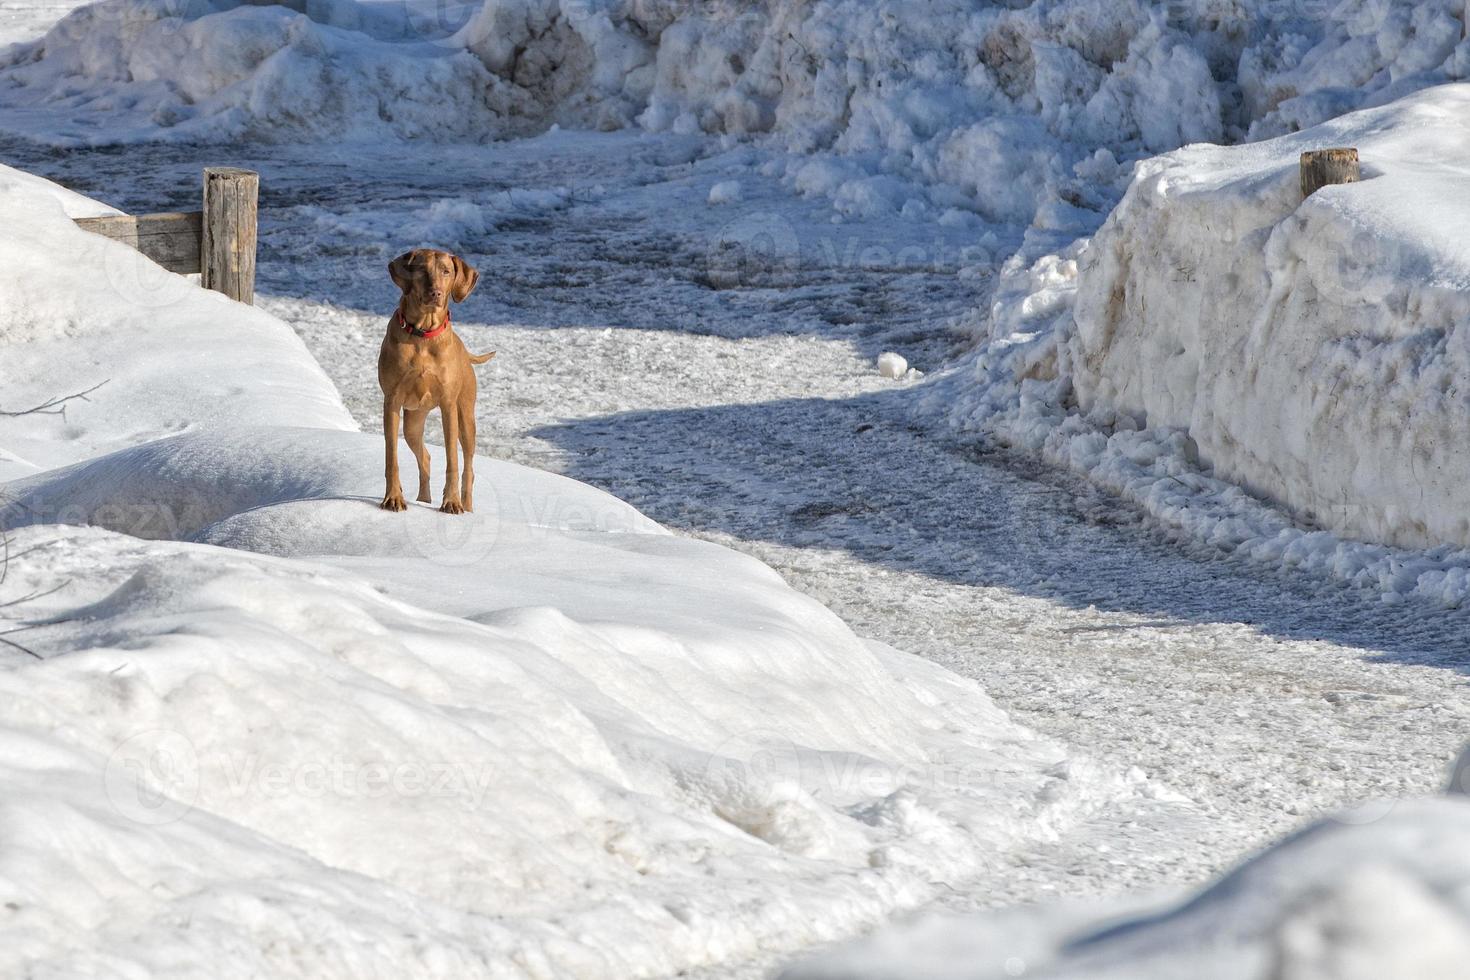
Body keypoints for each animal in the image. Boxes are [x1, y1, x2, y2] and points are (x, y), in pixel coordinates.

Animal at [379, 249, 493, 517]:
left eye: (446, 271)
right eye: (421, 269)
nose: (436, 293)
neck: (423, 335)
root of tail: (464, 349)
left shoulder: (448, 406)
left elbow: (452, 459)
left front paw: (451, 502)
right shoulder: (392, 402)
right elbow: (392, 457)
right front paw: (393, 498)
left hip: (466, 418)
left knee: (468, 465)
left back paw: (467, 505)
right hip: (413, 422)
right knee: (425, 456)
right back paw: (423, 499)